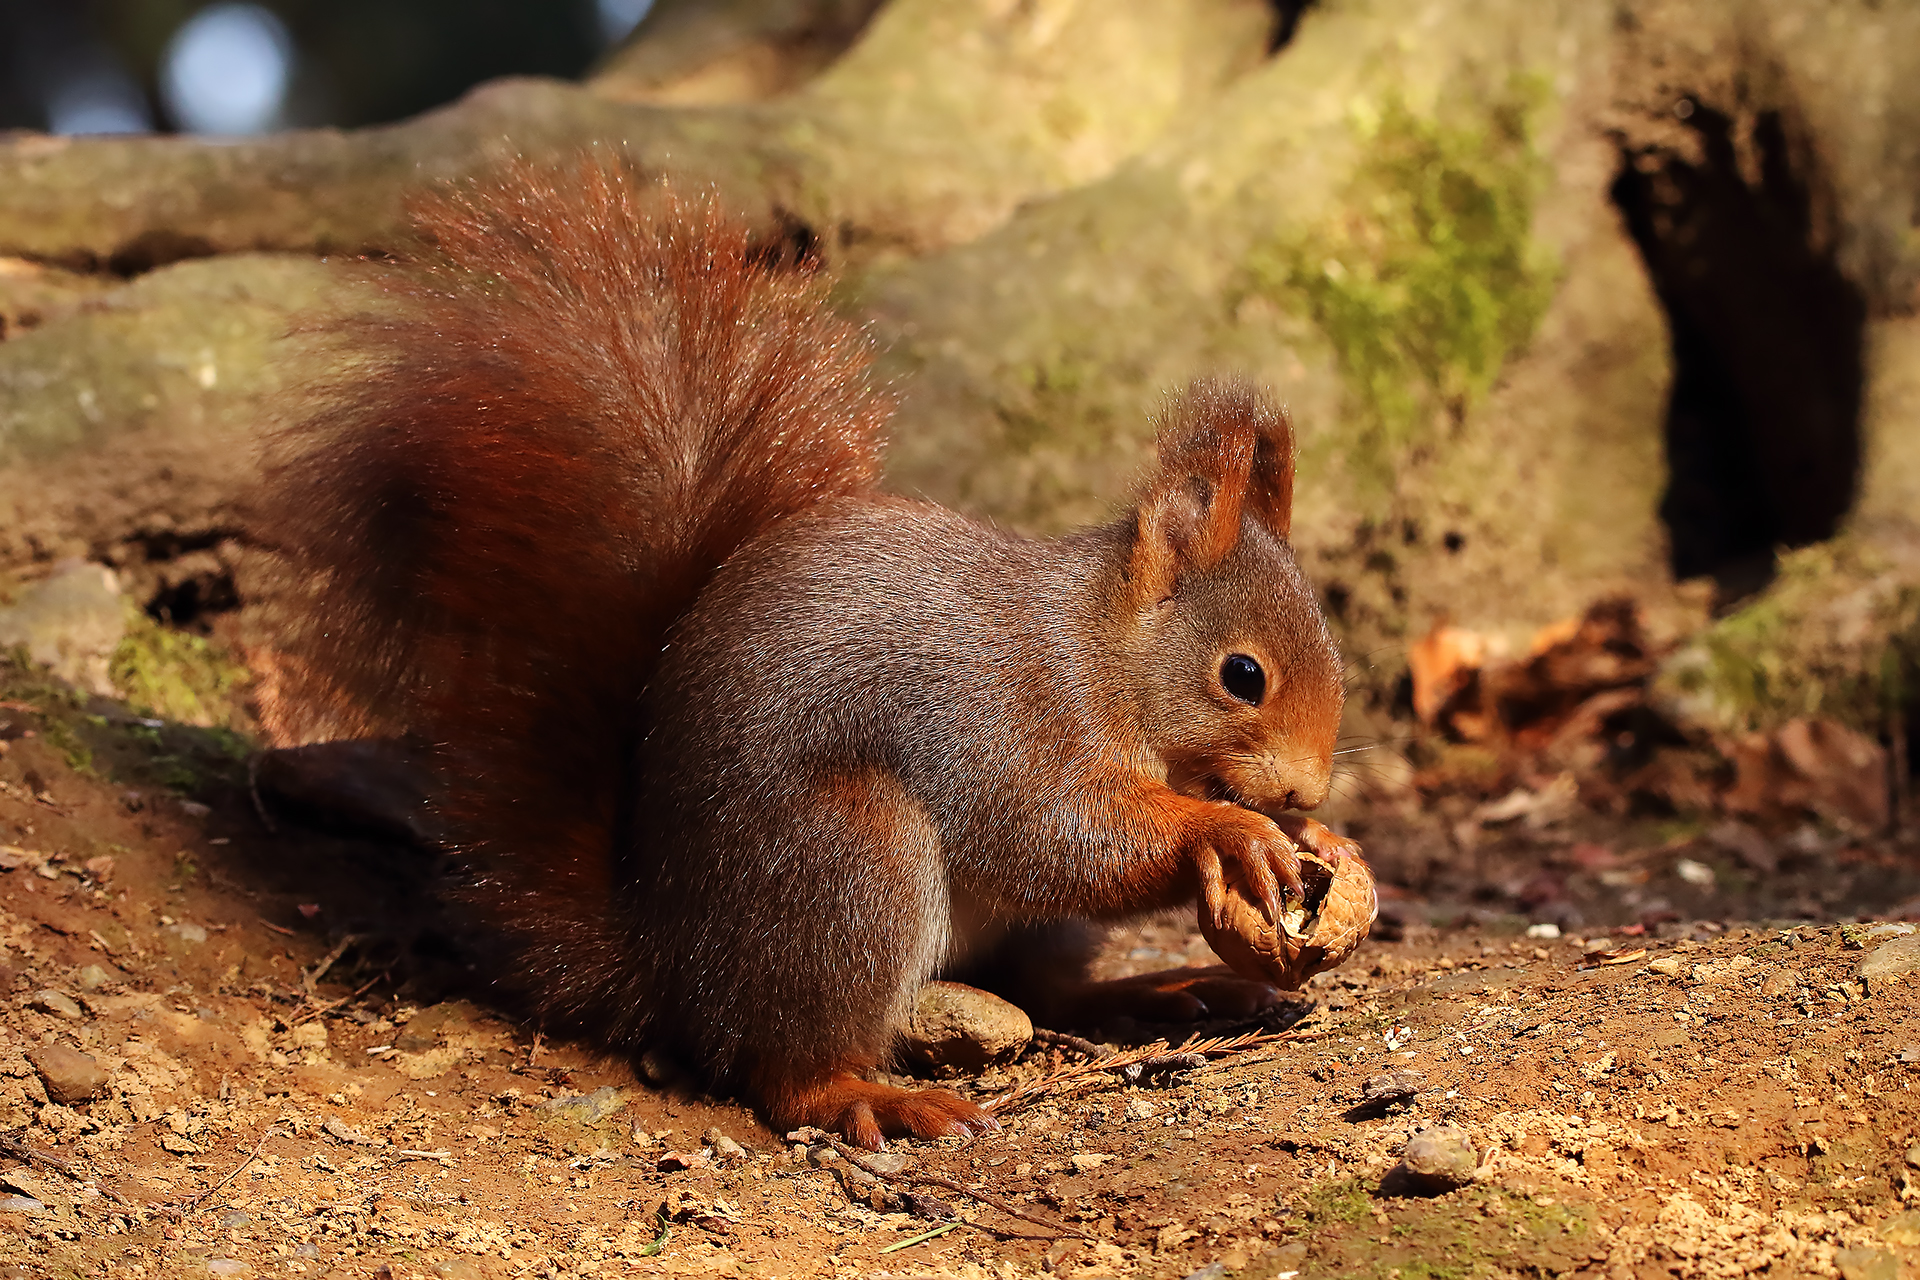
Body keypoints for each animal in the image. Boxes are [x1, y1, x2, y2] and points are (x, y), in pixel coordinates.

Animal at [260, 158, 1355, 1149]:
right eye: (1243, 675)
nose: (1306, 789)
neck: (1100, 655)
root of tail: (667, 958)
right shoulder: (1012, 725)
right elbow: (1058, 836)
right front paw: (1229, 830)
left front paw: (1311, 840)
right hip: (848, 866)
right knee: (782, 1067)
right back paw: (866, 1095)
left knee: (1038, 985)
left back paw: (1161, 988)